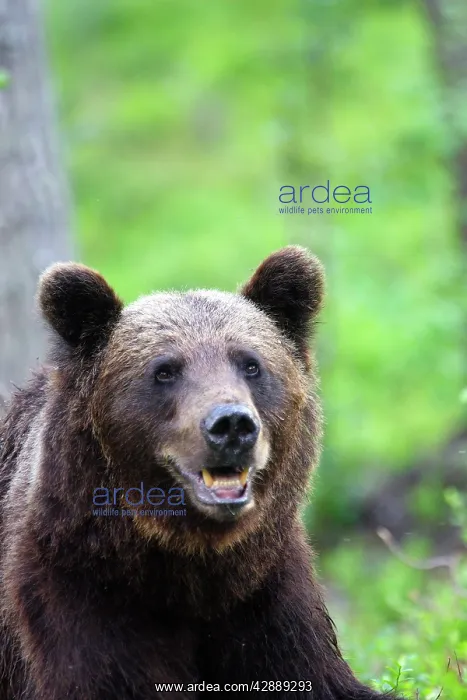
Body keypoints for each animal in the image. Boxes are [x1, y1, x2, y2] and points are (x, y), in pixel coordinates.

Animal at [0, 246, 402, 699]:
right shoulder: (76, 589)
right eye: (164, 370)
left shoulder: (266, 593)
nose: (232, 424)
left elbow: (316, 675)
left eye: (250, 364)